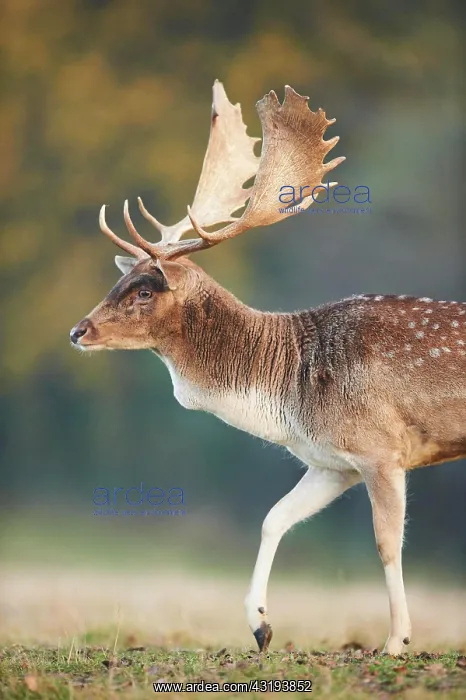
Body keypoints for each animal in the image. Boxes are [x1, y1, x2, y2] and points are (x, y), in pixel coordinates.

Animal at [70, 81, 466, 656]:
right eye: (119, 281)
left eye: (143, 290)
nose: (78, 331)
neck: (289, 395)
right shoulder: (333, 463)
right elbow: (273, 519)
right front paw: (260, 626)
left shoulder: (382, 449)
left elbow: (387, 543)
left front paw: (396, 641)